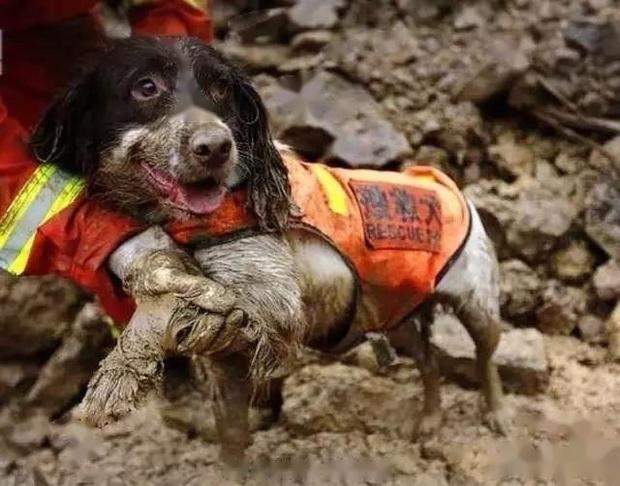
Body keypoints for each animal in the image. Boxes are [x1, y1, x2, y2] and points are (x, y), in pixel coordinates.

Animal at [30, 37, 508, 460]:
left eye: (221, 88)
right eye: (145, 86)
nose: (215, 147)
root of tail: (444, 183)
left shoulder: (270, 302)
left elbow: (169, 310)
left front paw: (115, 378)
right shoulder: (224, 351)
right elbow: (231, 433)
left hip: (478, 302)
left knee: (485, 358)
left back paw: (497, 415)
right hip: (395, 314)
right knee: (429, 361)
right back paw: (430, 420)